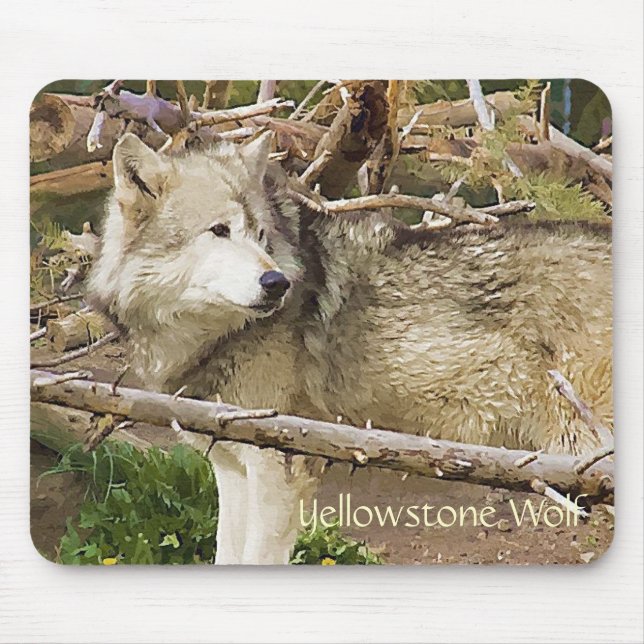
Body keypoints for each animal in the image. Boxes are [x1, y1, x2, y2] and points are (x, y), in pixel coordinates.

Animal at [87, 132, 612, 564]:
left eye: (260, 235)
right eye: (219, 231)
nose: (276, 284)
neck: (212, 338)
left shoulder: (280, 470)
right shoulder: (232, 469)